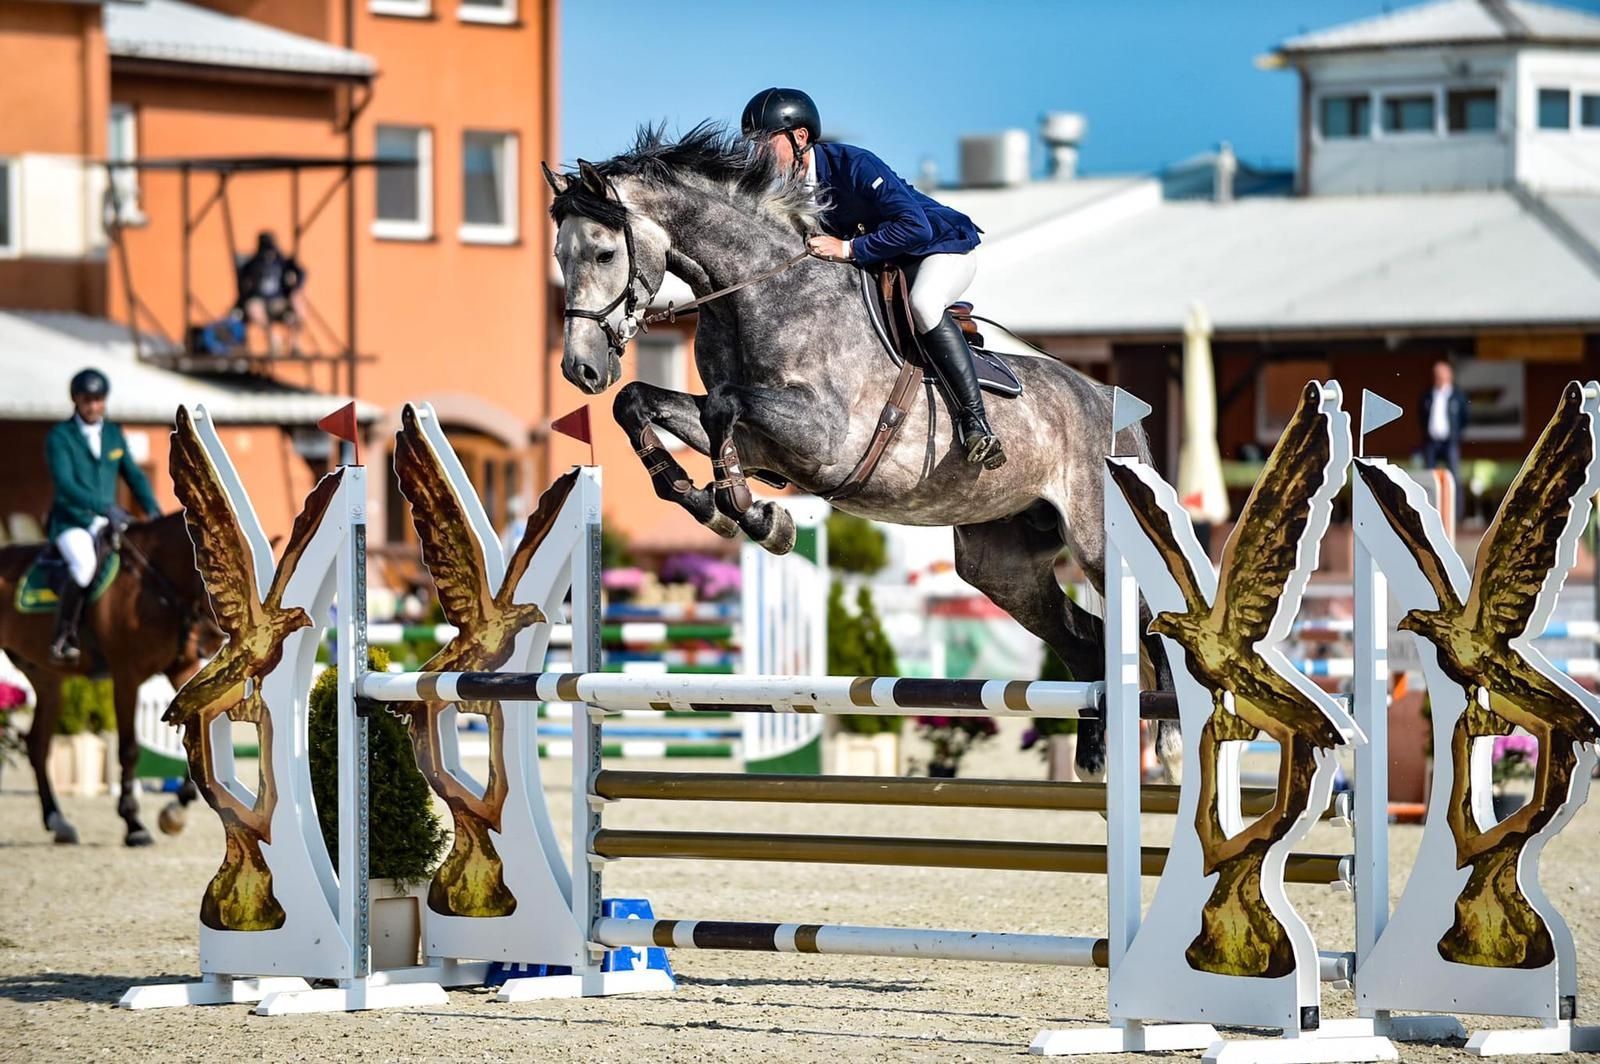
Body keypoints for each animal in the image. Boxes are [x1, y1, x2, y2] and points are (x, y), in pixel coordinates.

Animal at [0, 515, 219, 844]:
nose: (213, 642)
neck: (155, 580)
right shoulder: (126, 676)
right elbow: (128, 750)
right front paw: (133, 823)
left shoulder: (181, 667)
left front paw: (175, 810)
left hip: (46, 678)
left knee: (37, 744)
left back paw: (58, 821)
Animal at [547, 126, 1177, 780]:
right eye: (560, 257)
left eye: (604, 254)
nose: (581, 370)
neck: (760, 291)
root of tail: (1114, 408)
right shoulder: (763, 441)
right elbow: (639, 404)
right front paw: (722, 508)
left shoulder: (823, 435)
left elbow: (723, 407)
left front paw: (755, 514)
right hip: (1002, 565)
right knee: (1086, 638)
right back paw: (1093, 756)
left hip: (1096, 541)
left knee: (1144, 620)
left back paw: (1170, 745)